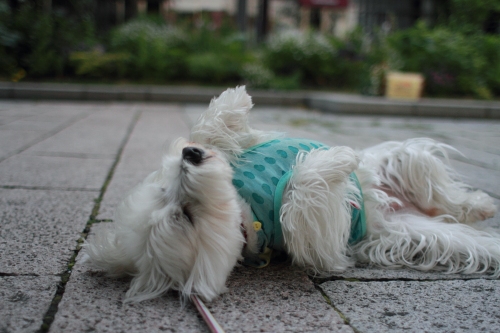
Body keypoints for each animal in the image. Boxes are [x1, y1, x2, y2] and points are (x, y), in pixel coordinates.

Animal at [84, 87, 498, 302]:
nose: (190, 157)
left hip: (397, 161)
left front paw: (233, 102)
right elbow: (297, 202)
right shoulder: (320, 244)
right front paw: (333, 161)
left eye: (167, 184)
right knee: (465, 234)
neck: (247, 211)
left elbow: (216, 133)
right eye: (183, 215)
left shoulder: (246, 150)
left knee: (439, 189)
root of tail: (395, 210)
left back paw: (479, 205)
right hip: (421, 232)